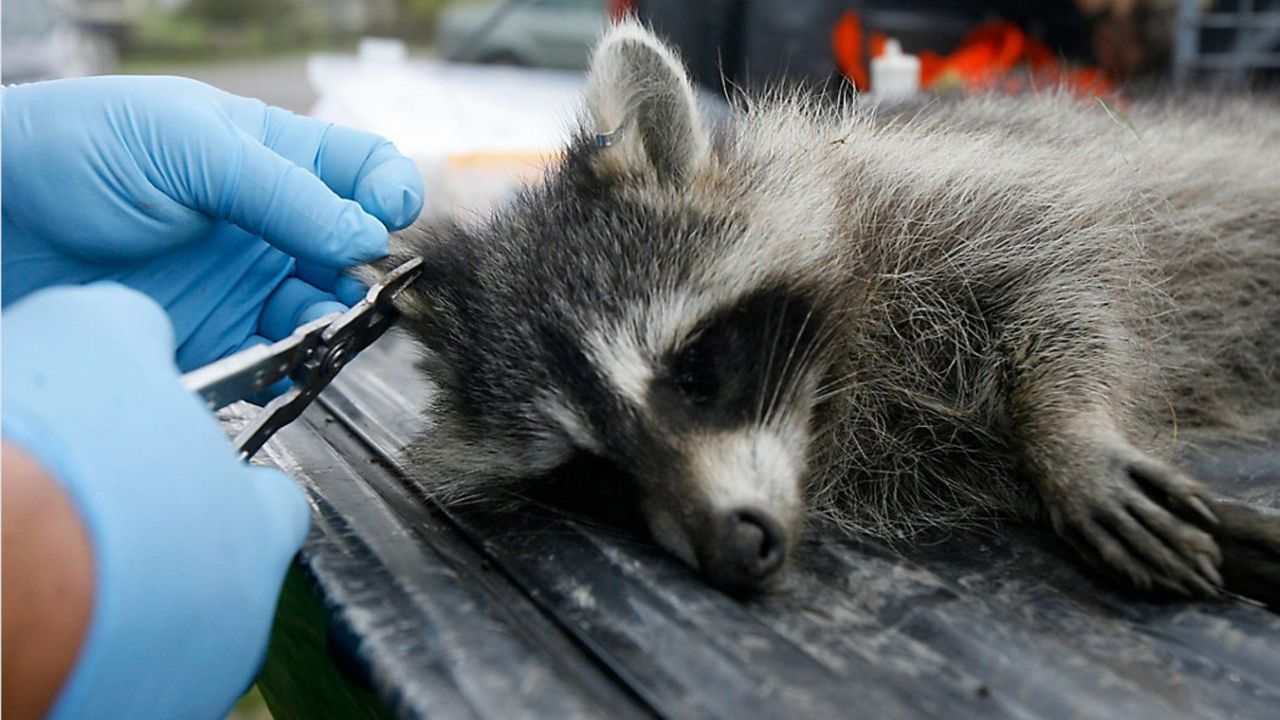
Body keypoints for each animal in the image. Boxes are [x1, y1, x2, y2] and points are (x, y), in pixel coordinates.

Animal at [363, 22, 1280, 594]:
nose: (734, 550)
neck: (829, 413)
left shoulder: (953, 199)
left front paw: (1068, 433)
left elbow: (1070, 277)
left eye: (693, 372)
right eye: (589, 473)